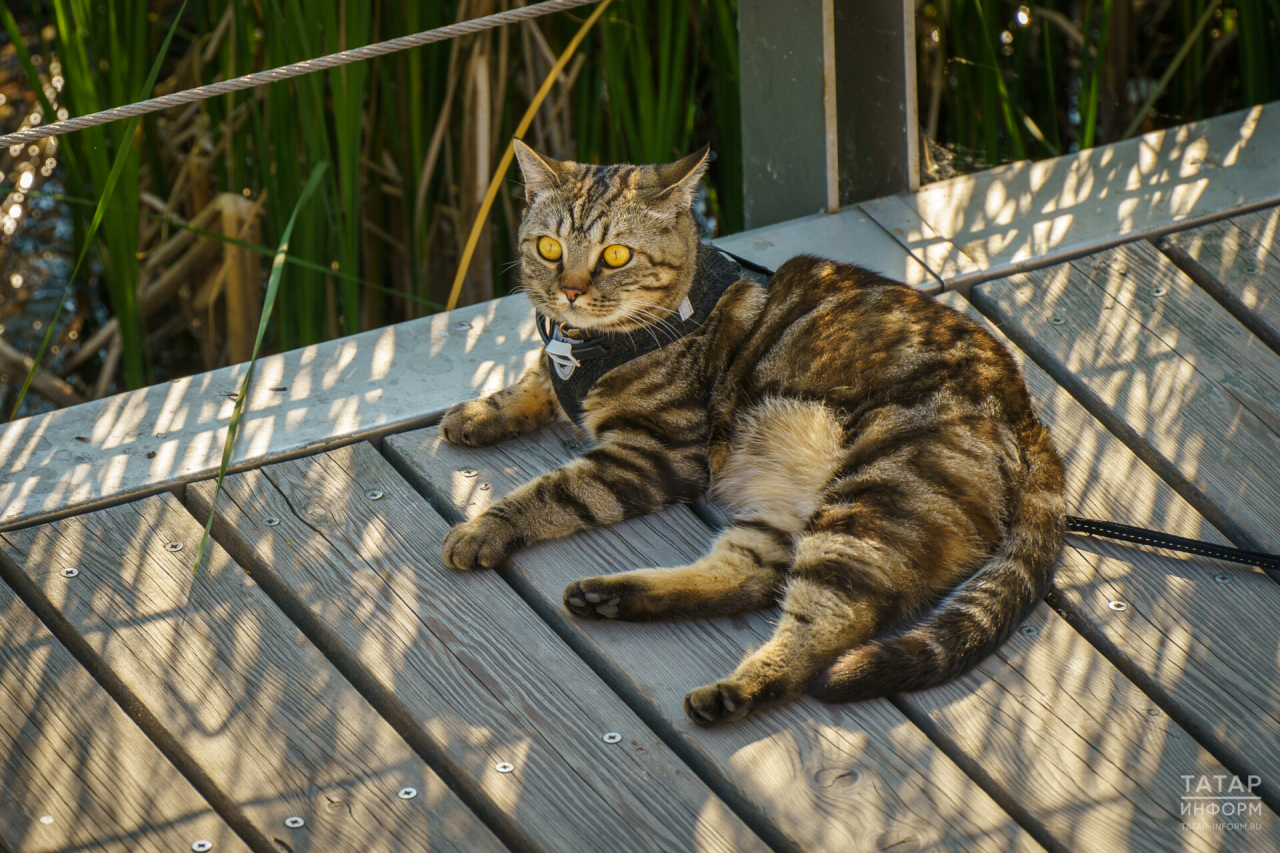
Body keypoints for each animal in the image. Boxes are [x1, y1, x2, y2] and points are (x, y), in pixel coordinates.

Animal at [440, 140, 1070, 722]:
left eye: (616, 256)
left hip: (874, 502)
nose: (570, 290)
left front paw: (483, 527)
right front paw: (481, 412)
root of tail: (1027, 413)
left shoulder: (654, 453)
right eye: (548, 248)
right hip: (790, 509)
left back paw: (735, 689)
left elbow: (550, 491)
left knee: (829, 621)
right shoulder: (566, 369)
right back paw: (611, 597)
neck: (592, 346)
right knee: (751, 575)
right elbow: (533, 381)